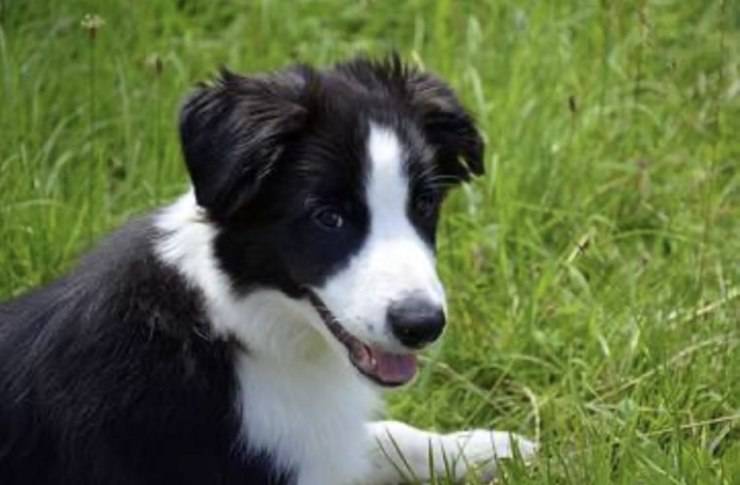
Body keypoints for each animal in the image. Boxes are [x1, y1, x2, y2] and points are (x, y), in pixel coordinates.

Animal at [0, 56, 532, 484]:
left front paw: (492, 450)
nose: (422, 325)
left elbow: (386, 437)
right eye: (328, 217)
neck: (234, 326)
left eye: (423, 204)